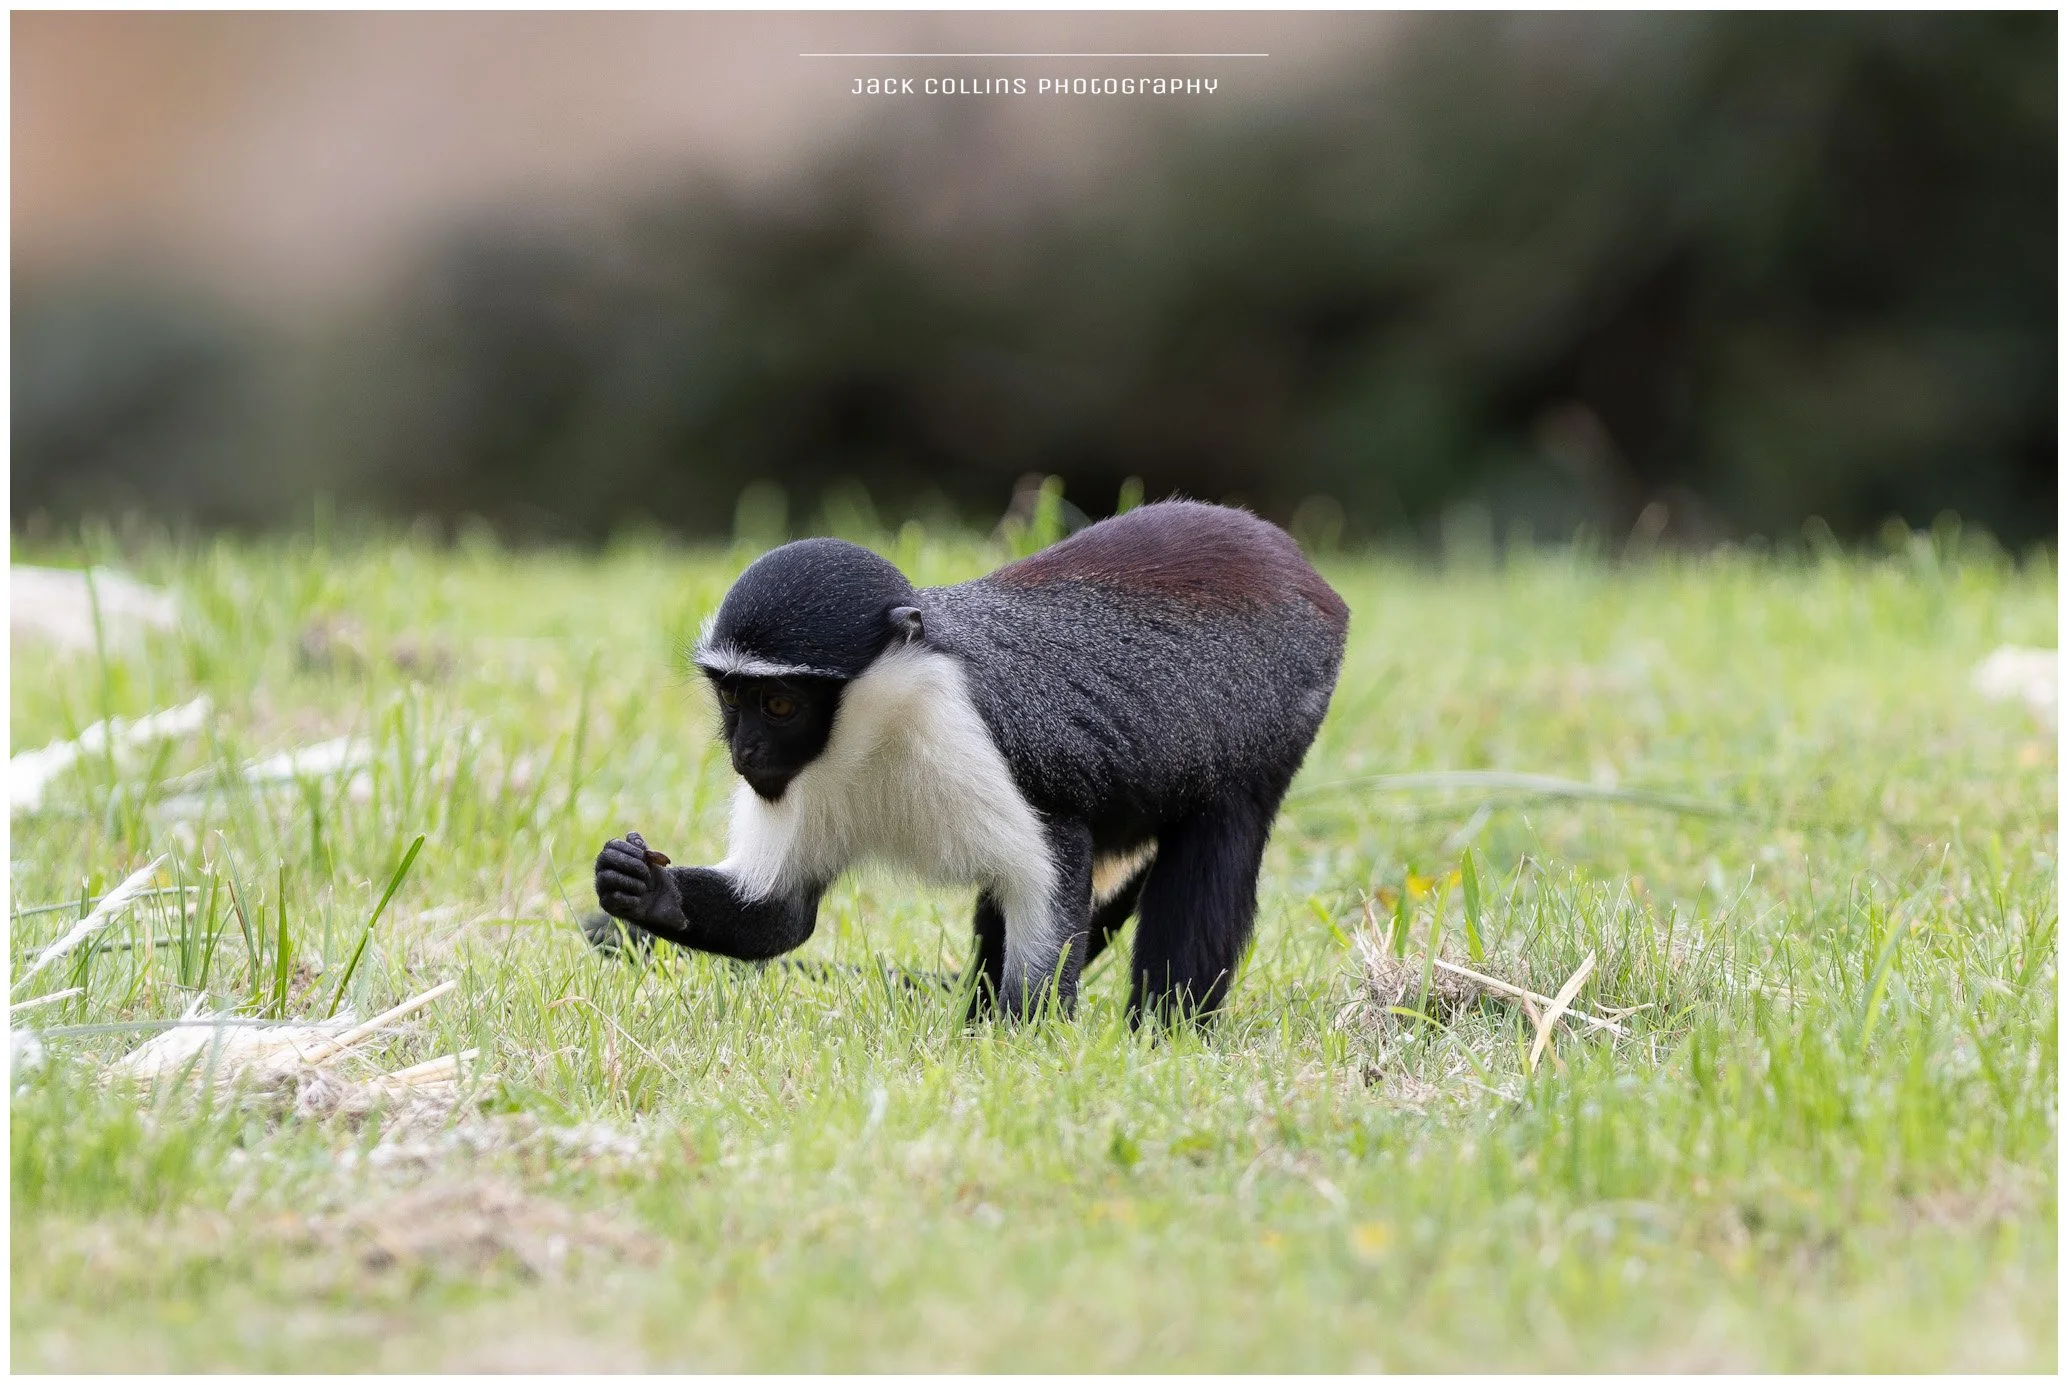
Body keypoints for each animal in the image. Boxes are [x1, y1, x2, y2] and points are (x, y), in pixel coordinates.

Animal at [588, 499, 1349, 1026]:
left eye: (778, 704)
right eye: (731, 697)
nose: (745, 750)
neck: (881, 726)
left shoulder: (987, 749)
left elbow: (1053, 872)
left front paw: (1022, 1037)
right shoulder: (803, 786)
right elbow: (781, 913)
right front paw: (644, 887)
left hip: (1279, 720)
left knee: (1211, 860)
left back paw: (1162, 1033)